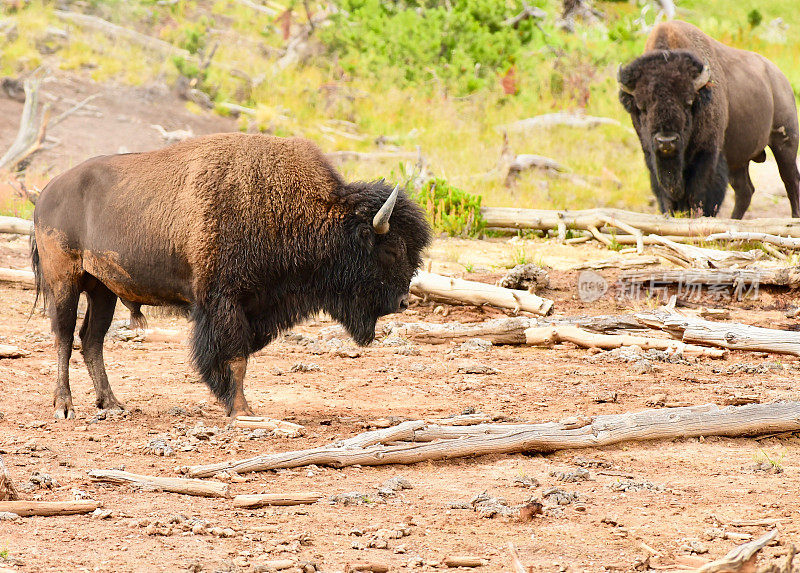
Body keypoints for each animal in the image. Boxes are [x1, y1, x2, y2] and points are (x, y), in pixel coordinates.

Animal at [31, 134, 432, 420]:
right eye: (391, 249)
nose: (403, 301)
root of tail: (46, 192)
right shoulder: (224, 303)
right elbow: (235, 358)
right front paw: (241, 410)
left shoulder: (253, 308)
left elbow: (238, 358)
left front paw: (234, 404)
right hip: (65, 281)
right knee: (64, 336)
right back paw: (65, 407)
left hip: (103, 289)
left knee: (92, 339)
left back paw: (112, 403)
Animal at [620, 19, 800, 217]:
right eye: (642, 107)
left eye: (688, 102)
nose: (666, 141)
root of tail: (781, 78)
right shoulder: (651, 156)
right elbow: (664, 195)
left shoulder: (707, 155)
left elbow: (699, 195)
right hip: (738, 161)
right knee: (745, 190)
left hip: (785, 143)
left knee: (790, 181)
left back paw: (794, 217)